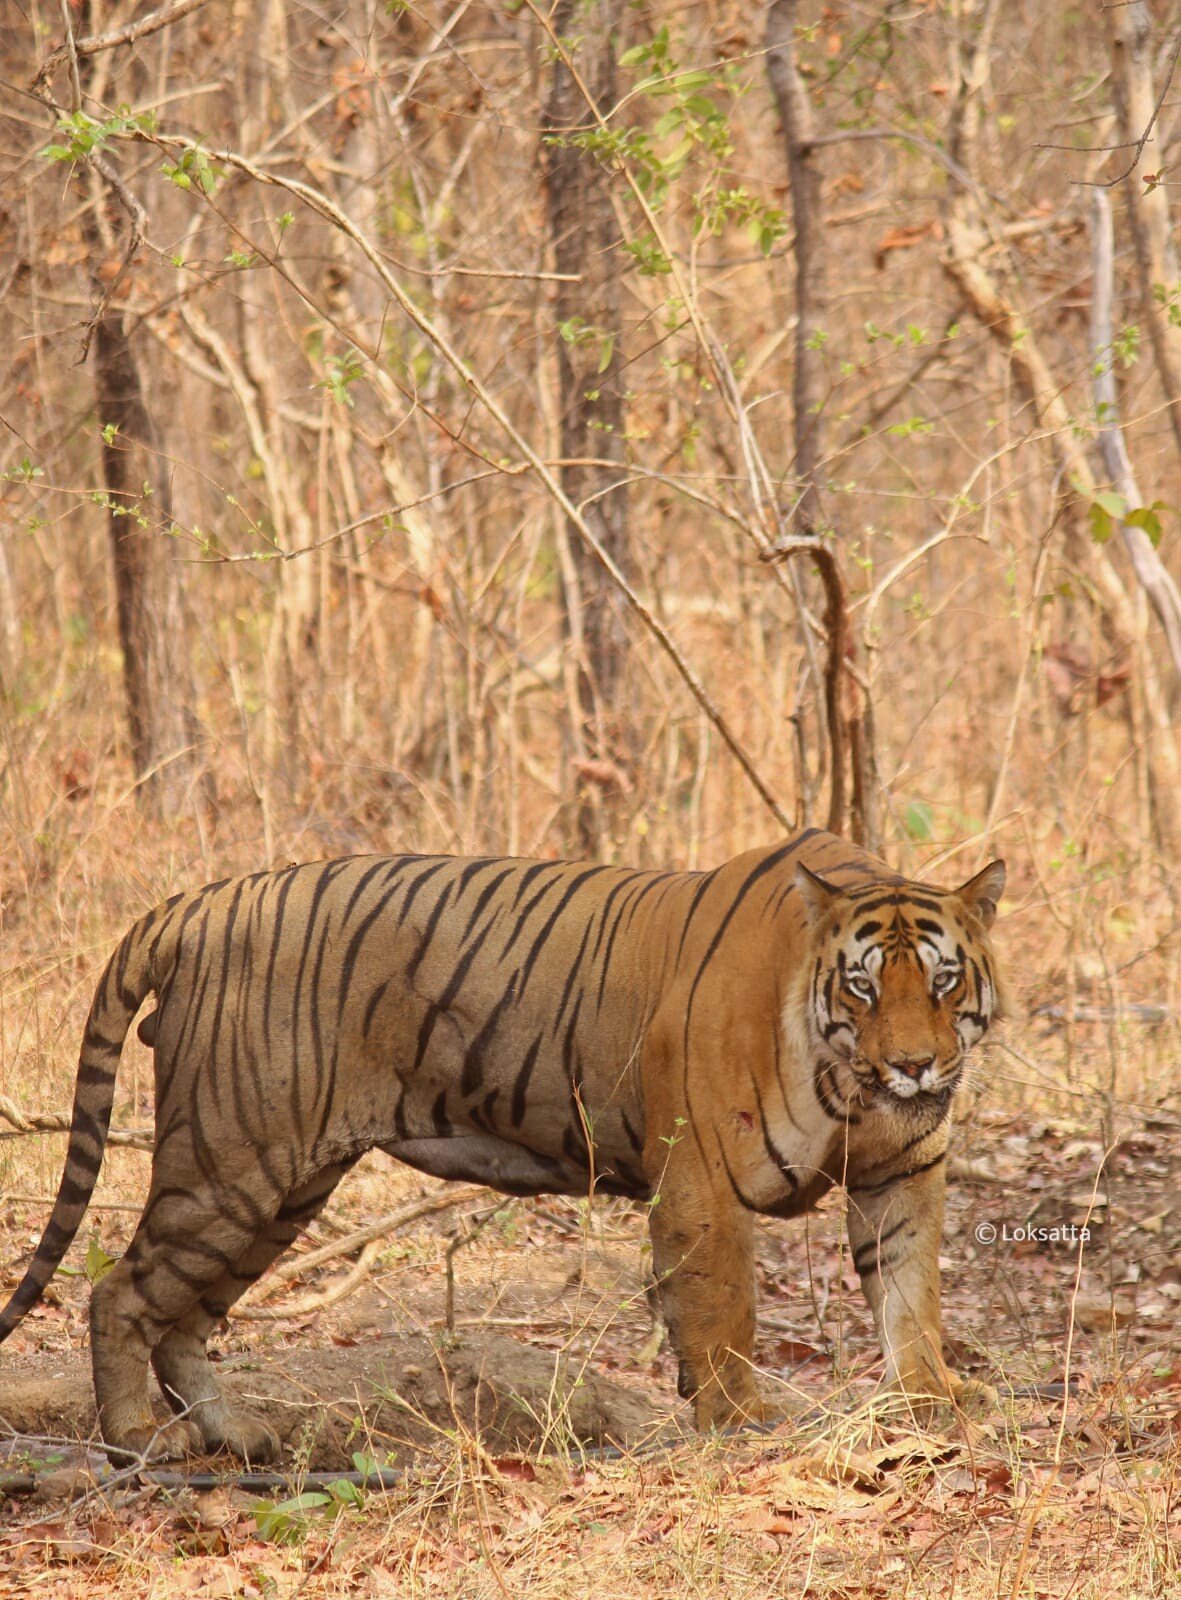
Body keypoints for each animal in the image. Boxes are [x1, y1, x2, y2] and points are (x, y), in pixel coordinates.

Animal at [0, 832, 1004, 1459]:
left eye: (943, 982)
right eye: (862, 988)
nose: (914, 1067)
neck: (849, 1090)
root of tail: (199, 903)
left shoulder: (905, 1173)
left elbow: (910, 1296)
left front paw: (934, 1399)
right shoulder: (703, 1181)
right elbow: (725, 1310)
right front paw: (738, 1417)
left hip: (283, 1188)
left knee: (187, 1318)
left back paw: (234, 1433)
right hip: (230, 1163)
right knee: (120, 1293)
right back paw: (138, 1437)